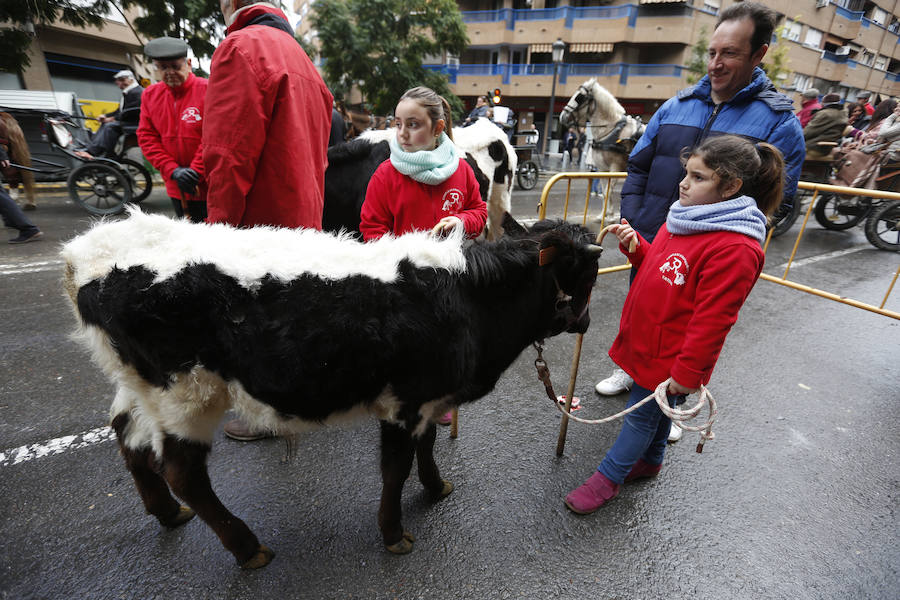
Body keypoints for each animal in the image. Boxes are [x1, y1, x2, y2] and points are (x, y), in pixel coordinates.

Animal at [61, 209, 596, 568]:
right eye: (587, 274)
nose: (587, 322)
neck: (468, 296)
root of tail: (84, 253)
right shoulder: (404, 402)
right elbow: (394, 469)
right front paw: (394, 533)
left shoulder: (427, 399)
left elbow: (425, 447)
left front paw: (436, 486)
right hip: (185, 395)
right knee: (183, 472)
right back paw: (247, 548)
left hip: (140, 388)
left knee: (127, 437)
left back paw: (169, 514)